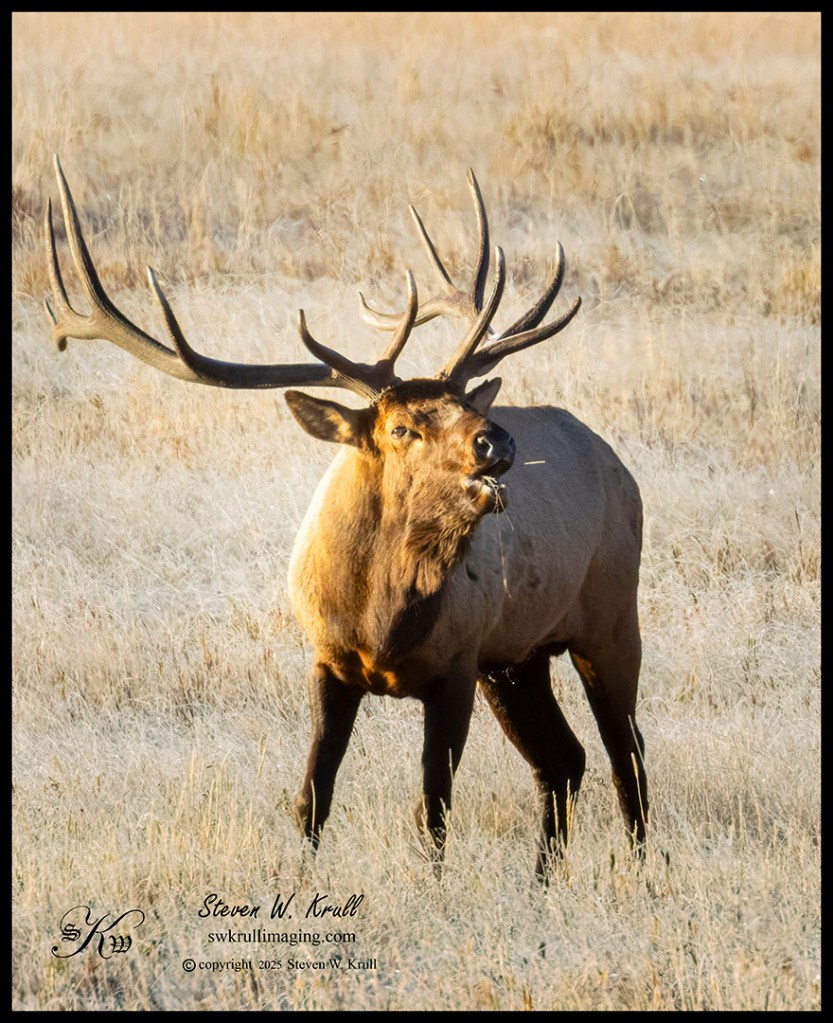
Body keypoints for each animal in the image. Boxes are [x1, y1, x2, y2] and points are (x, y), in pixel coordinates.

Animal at [43, 156, 648, 879]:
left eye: (462, 403)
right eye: (401, 426)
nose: (496, 440)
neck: (378, 617)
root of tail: (617, 464)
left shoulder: (456, 662)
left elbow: (432, 811)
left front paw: (431, 888)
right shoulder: (329, 662)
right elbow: (312, 797)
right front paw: (301, 878)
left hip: (609, 617)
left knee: (626, 756)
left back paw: (646, 876)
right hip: (518, 657)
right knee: (564, 760)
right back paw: (541, 885)